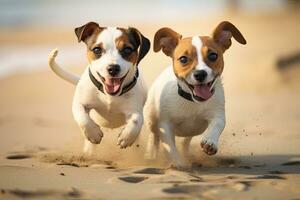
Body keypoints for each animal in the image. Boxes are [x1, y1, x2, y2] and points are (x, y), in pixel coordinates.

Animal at [48, 21, 150, 153]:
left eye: (127, 50)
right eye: (97, 49)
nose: (113, 68)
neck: (109, 96)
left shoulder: (135, 109)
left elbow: (136, 120)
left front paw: (126, 138)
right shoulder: (79, 103)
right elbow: (82, 117)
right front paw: (93, 134)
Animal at [144, 21, 246, 167]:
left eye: (213, 55)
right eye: (183, 59)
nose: (200, 74)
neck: (192, 101)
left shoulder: (218, 114)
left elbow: (217, 125)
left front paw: (210, 142)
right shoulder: (165, 124)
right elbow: (169, 146)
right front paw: (178, 163)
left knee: (184, 142)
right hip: (151, 118)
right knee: (154, 136)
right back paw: (151, 154)